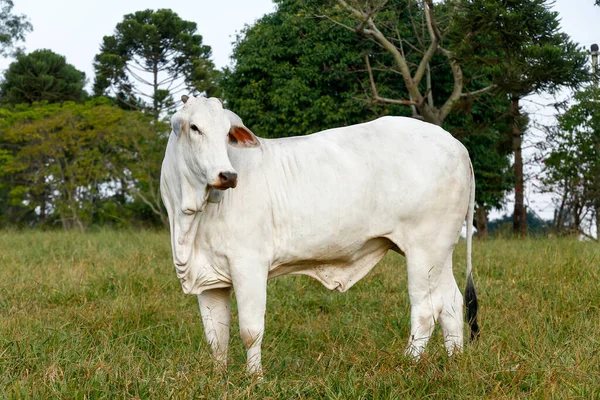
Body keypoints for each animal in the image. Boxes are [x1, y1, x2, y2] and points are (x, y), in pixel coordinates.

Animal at [159, 94, 478, 376]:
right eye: (194, 127)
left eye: (227, 133)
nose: (228, 175)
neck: (191, 219)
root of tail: (457, 145)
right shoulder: (209, 278)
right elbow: (216, 336)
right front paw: (219, 377)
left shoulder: (249, 265)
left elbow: (250, 330)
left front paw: (255, 378)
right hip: (440, 252)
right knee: (450, 303)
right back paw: (455, 362)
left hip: (423, 251)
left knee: (426, 310)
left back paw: (407, 365)